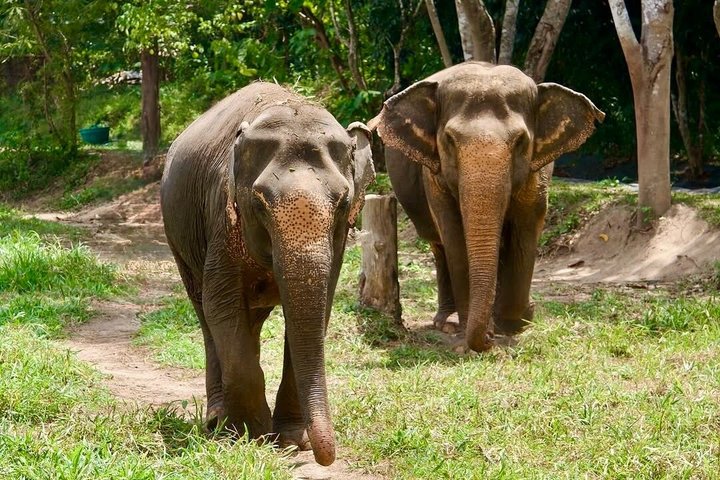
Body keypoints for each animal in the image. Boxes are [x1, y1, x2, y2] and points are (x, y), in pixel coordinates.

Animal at [160, 82, 374, 466]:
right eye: (259, 202)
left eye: (342, 203)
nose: (323, 456)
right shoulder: (222, 218)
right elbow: (221, 305)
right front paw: (252, 436)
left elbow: (317, 312)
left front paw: (290, 441)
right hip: (178, 238)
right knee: (205, 313)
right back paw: (217, 422)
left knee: (250, 321)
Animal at [372, 62, 604, 352]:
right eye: (449, 139)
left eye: (521, 141)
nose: (489, 338)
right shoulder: (434, 177)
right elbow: (454, 235)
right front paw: (475, 334)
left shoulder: (536, 175)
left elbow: (526, 229)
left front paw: (517, 321)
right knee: (439, 246)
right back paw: (449, 322)